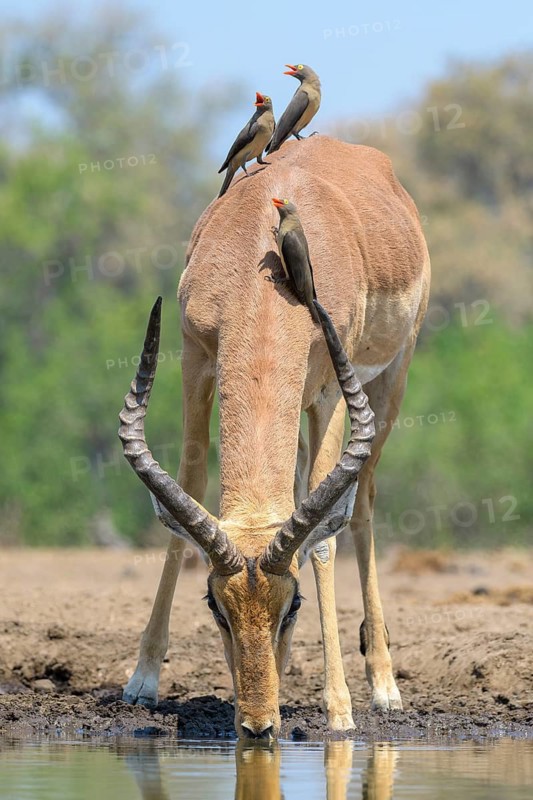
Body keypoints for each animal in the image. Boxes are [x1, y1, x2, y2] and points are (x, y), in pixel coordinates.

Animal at [119, 135, 430, 739]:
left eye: (294, 606)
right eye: (215, 606)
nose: (258, 726)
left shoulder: (334, 383)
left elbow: (324, 539)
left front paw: (339, 709)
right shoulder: (194, 357)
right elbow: (190, 483)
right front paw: (142, 679)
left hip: (391, 378)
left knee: (361, 499)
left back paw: (384, 688)